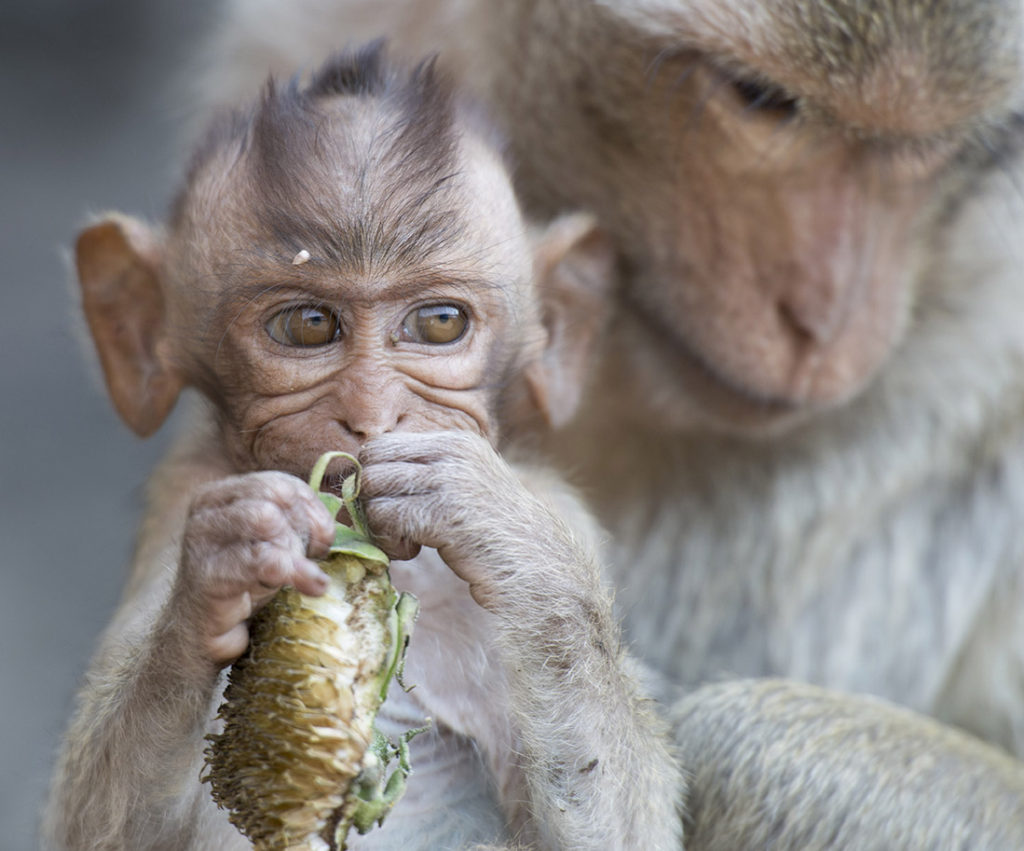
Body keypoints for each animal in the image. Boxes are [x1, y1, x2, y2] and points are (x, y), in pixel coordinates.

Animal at [49, 46, 688, 851]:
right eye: (308, 324)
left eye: (440, 322)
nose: (370, 415)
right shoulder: (177, 501)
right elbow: (91, 830)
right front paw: (226, 562)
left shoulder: (561, 505)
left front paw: (496, 525)